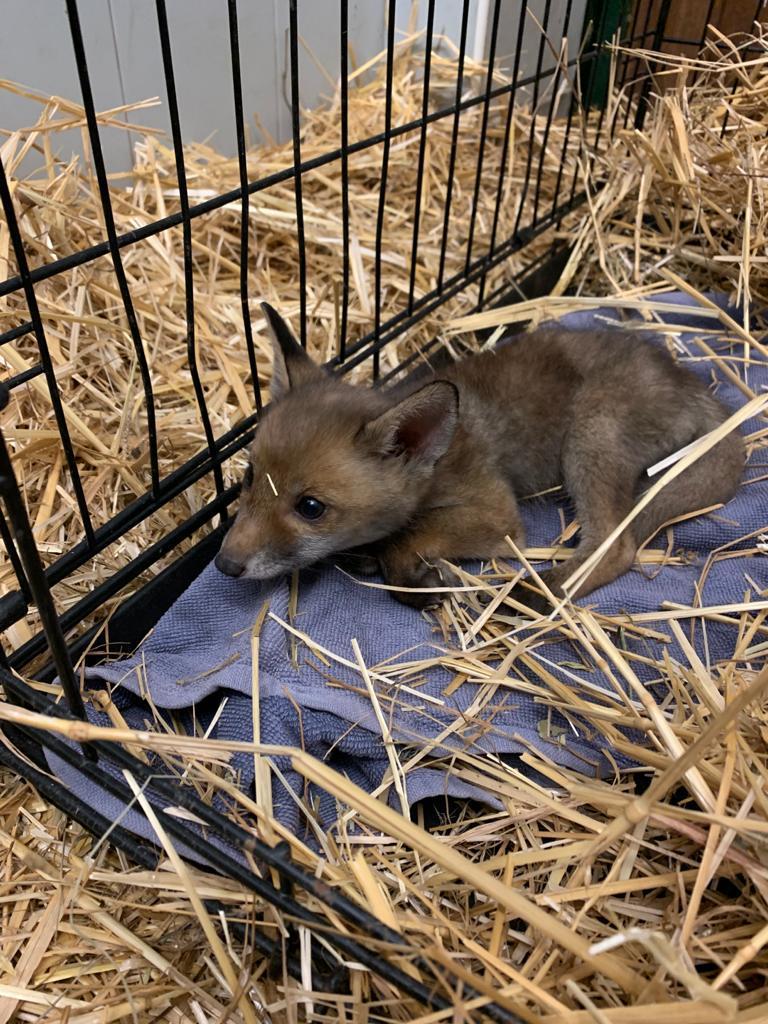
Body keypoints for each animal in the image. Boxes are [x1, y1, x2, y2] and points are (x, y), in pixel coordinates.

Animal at [214, 302, 744, 613]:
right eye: (249, 478)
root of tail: (702, 390)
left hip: (589, 436)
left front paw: (416, 580)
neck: (440, 458)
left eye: (310, 508)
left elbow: (405, 541)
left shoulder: (496, 515)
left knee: (617, 545)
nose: (224, 565)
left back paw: (535, 593)